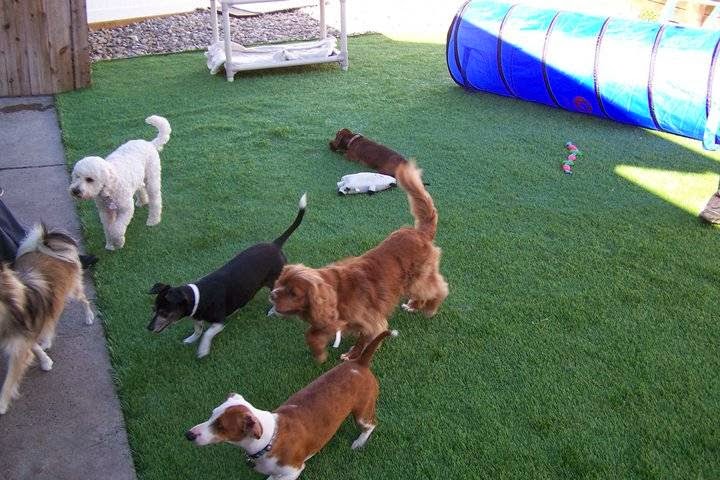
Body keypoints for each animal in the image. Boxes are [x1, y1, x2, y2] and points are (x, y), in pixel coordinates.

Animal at [0, 225, 94, 414]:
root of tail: (44, 244)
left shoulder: (19, 346)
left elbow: (9, 382)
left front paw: (1, 405)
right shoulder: (23, 335)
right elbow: (33, 347)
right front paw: (45, 360)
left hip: (73, 290)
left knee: (84, 300)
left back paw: (89, 317)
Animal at [69, 115, 171, 251]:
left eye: (89, 179)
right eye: (76, 176)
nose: (75, 191)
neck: (109, 188)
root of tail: (149, 143)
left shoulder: (125, 209)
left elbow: (116, 229)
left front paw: (118, 242)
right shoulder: (105, 212)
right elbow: (108, 228)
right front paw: (110, 245)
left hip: (152, 178)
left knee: (155, 199)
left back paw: (153, 220)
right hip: (138, 178)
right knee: (141, 188)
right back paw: (142, 201)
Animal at [147, 193, 307, 358]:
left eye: (164, 312)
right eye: (154, 309)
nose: (149, 328)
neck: (198, 297)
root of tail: (275, 244)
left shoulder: (219, 321)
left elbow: (207, 333)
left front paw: (203, 350)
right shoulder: (197, 317)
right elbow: (198, 330)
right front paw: (191, 339)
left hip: (275, 280)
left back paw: (273, 311)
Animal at [185, 329, 396, 479]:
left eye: (221, 426)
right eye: (212, 414)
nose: (188, 435)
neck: (268, 439)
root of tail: (359, 363)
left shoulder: (293, 471)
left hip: (362, 411)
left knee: (371, 424)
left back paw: (360, 441)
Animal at [270, 161, 448, 363]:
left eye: (293, 293)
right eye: (279, 283)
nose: (272, 295)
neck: (338, 292)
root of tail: (420, 233)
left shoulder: (373, 322)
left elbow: (365, 341)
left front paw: (353, 355)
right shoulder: (336, 322)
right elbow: (312, 334)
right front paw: (320, 352)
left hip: (418, 280)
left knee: (440, 288)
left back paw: (430, 308)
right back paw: (414, 305)